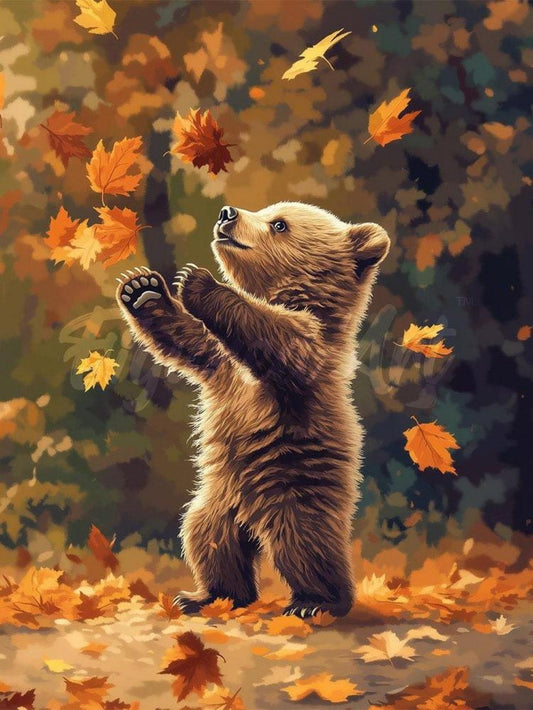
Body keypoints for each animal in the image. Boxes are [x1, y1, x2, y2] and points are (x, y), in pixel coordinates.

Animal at [116, 201, 390, 618]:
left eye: (279, 224)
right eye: (268, 211)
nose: (227, 213)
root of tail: (252, 519)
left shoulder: (310, 351)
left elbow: (281, 340)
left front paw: (199, 282)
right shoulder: (221, 363)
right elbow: (190, 340)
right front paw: (143, 290)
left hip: (296, 488)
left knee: (306, 545)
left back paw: (318, 601)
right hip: (218, 500)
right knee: (207, 539)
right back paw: (207, 596)